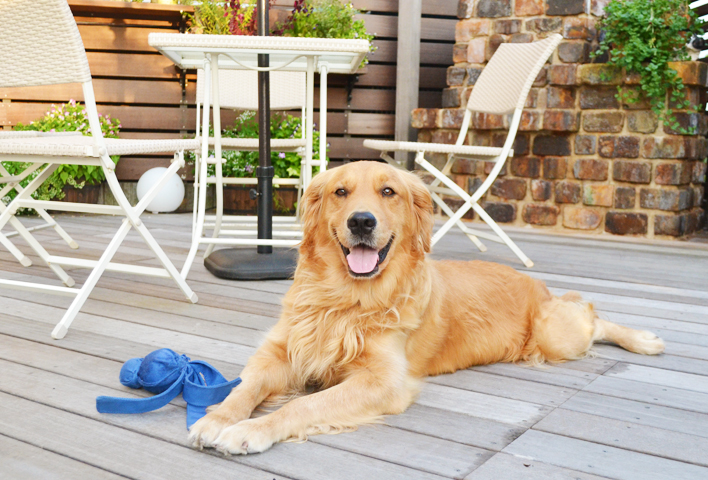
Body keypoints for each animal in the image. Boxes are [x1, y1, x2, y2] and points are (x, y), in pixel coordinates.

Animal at [188, 160, 664, 454]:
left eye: (388, 191)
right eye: (341, 191)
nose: (362, 221)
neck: (345, 300)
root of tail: (536, 284)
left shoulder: (383, 381)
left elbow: (302, 406)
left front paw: (251, 431)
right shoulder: (282, 351)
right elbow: (243, 387)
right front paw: (218, 419)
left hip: (555, 334)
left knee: (590, 311)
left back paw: (644, 339)